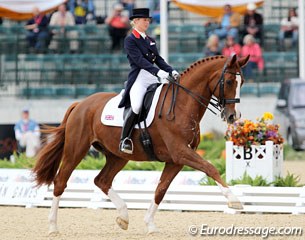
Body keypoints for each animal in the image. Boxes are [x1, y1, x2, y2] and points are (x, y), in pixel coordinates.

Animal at [32, 54, 247, 234]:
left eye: (242, 82)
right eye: (229, 81)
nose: (232, 116)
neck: (182, 104)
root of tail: (81, 104)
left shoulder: (176, 160)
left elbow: (161, 190)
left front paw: (150, 225)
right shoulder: (180, 152)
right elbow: (210, 168)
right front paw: (234, 201)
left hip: (117, 156)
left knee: (102, 180)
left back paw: (123, 217)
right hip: (76, 149)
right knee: (61, 181)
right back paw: (53, 227)